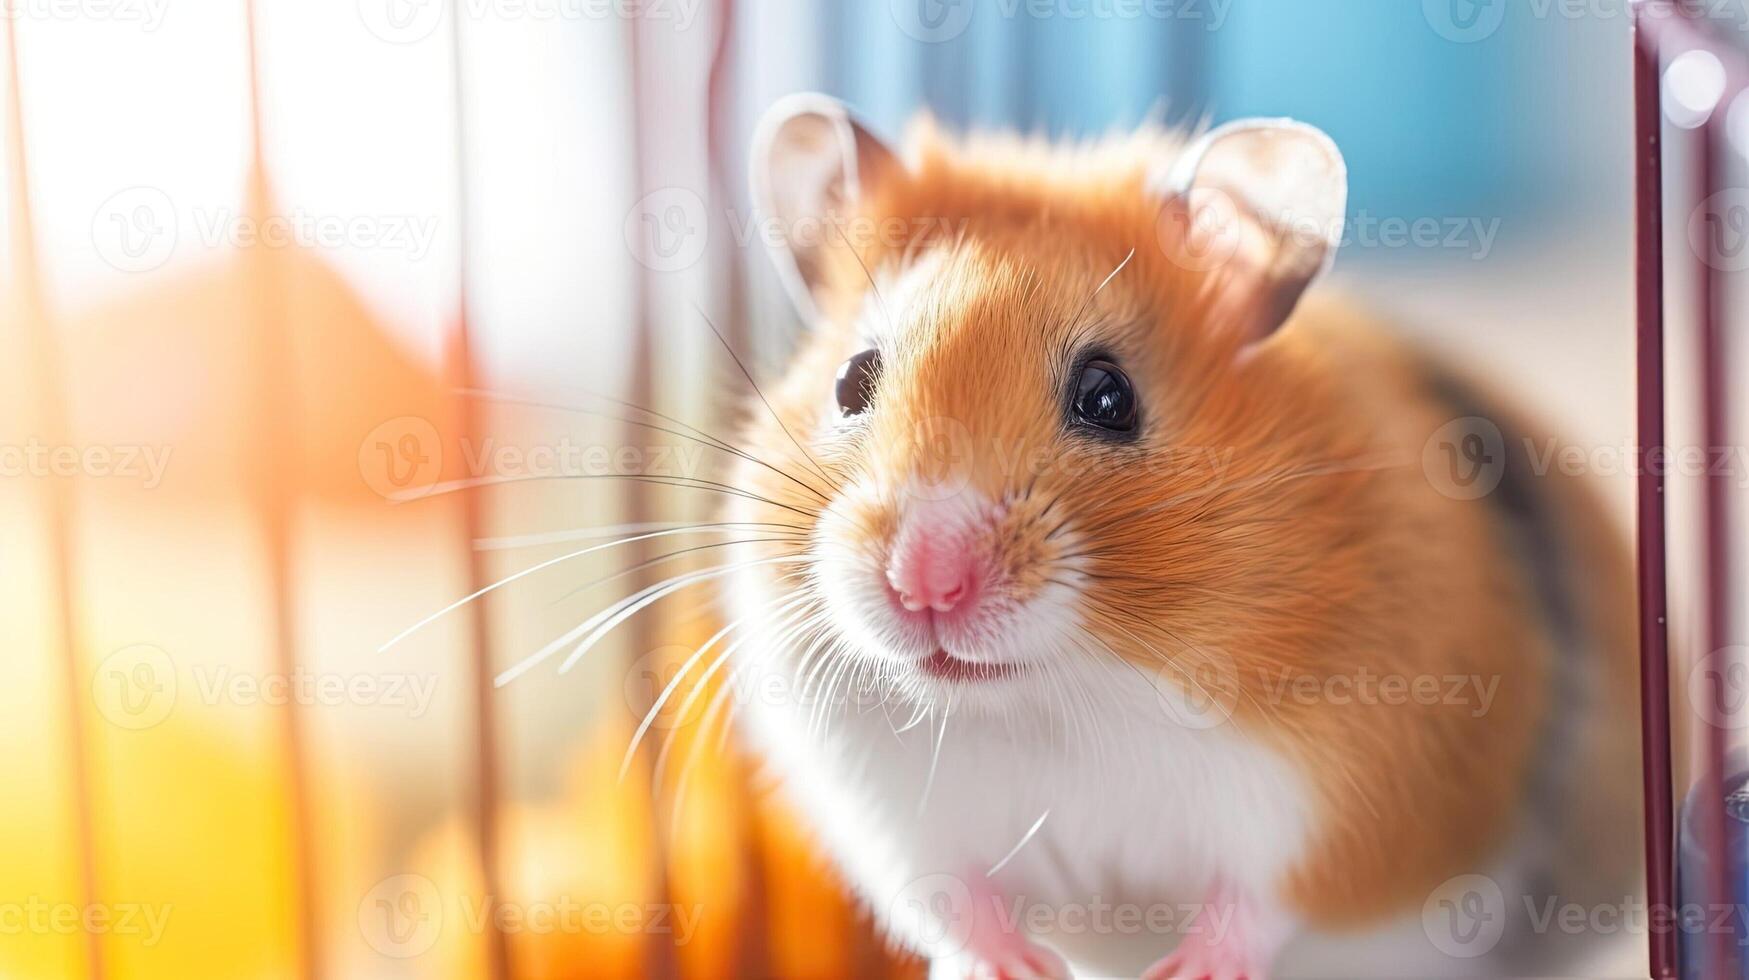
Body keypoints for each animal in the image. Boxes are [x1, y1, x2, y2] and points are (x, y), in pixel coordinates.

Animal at [710, 93, 1637, 980]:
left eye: (1108, 396)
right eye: (850, 381)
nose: (924, 584)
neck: (1062, 697)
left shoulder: (1338, 807)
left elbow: (1257, 908)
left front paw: (1181, 970)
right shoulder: (903, 825)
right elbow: (963, 910)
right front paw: (1018, 969)